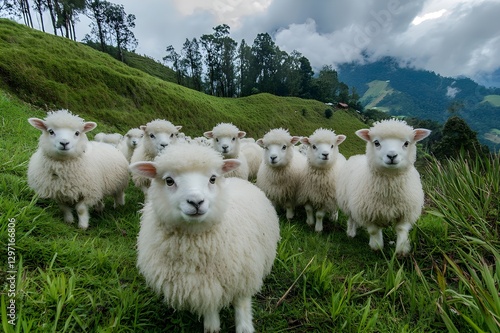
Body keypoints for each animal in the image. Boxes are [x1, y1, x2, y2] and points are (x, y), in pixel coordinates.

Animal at [130, 143, 282, 332]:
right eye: (169, 180)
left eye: (212, 179)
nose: (196, 202)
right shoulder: (202, 286)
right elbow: (210, 307)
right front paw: (212, 326)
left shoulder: (244, 274)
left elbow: (242, 305)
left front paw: (244, 327)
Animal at [334, 119, 432, 254]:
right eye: (376, 142)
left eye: (406, 143)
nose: (392, 156)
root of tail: (358, 156)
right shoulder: (367, 212)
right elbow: (374, 230)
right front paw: (377, 246)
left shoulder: (406, 212)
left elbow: (402, 229)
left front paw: (401, 250)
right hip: (348, 203)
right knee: (352, 218)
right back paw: (351, 233)